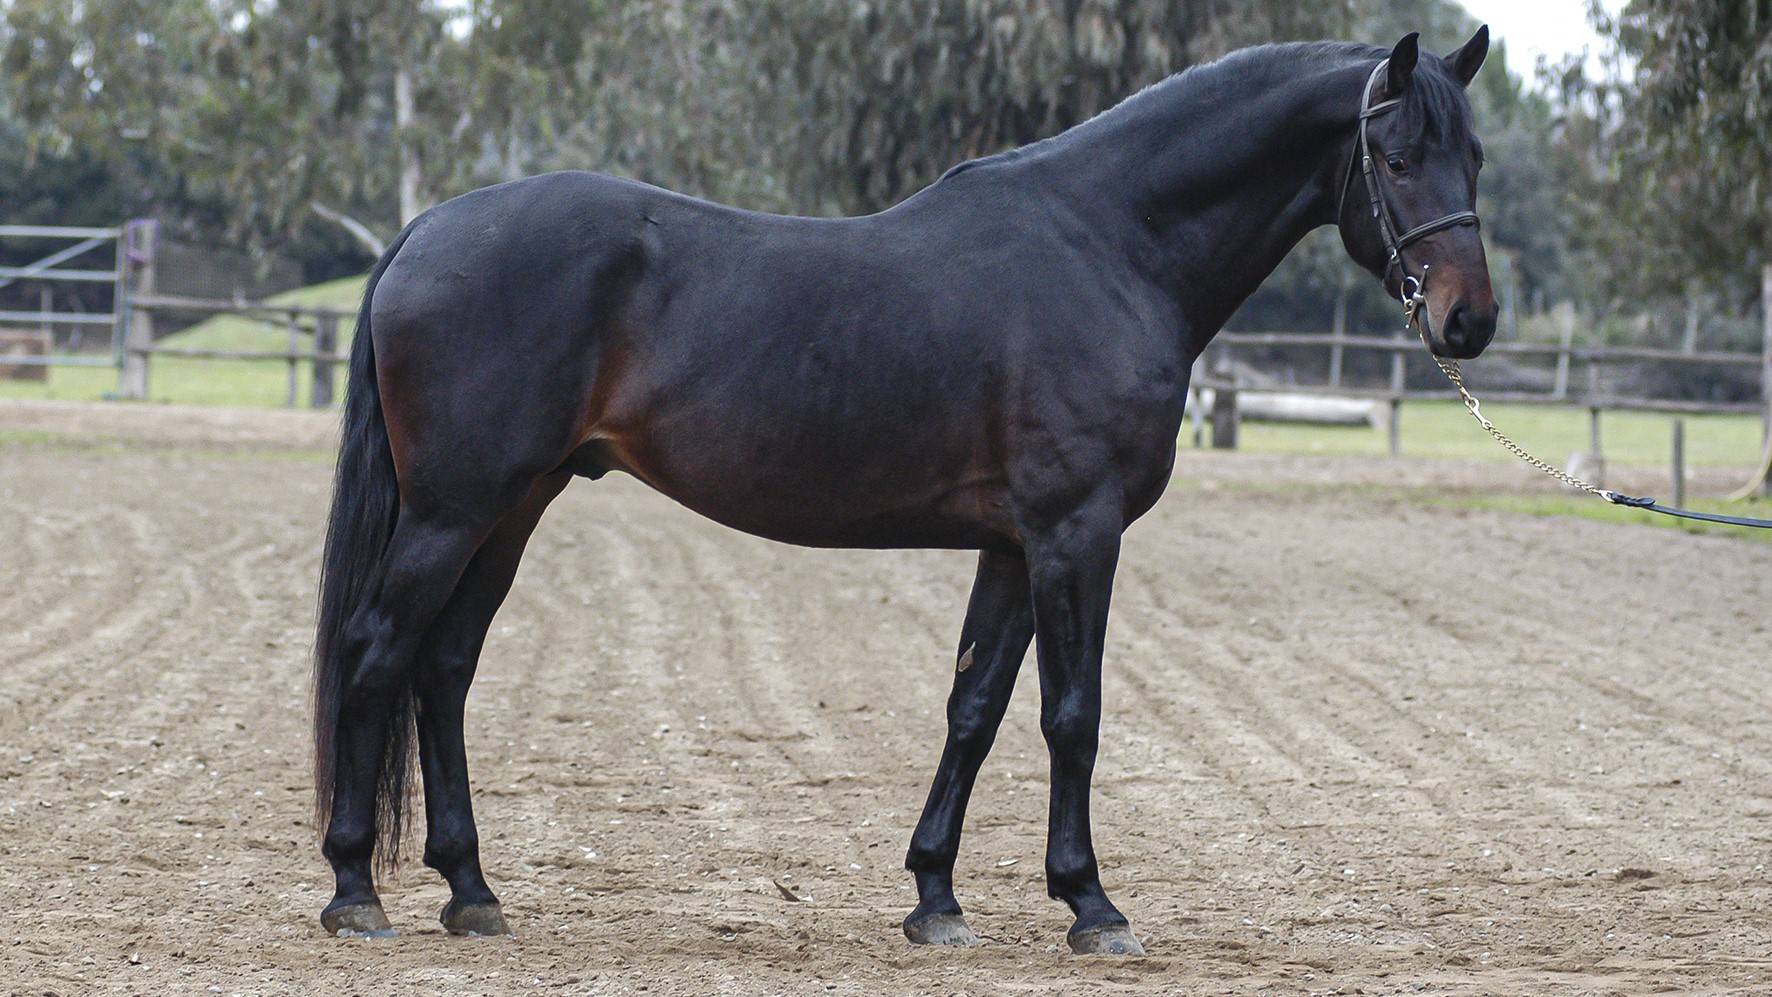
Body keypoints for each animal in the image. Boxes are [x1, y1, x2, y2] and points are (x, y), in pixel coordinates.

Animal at [311, 28, 1496, 955]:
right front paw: (1092, 905)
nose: (1467, 320)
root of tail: (428, 229)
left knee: (444, 668)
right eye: (1395, 157)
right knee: (377, 654)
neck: (1109, 245)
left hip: (513, 506)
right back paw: (356, 890)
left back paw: (472, 890)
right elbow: (1073, 715)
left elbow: (973, 707)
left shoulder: (1014, 544)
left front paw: (935, 897)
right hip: (453, 511)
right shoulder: (1076, 534)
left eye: (1475, 156)